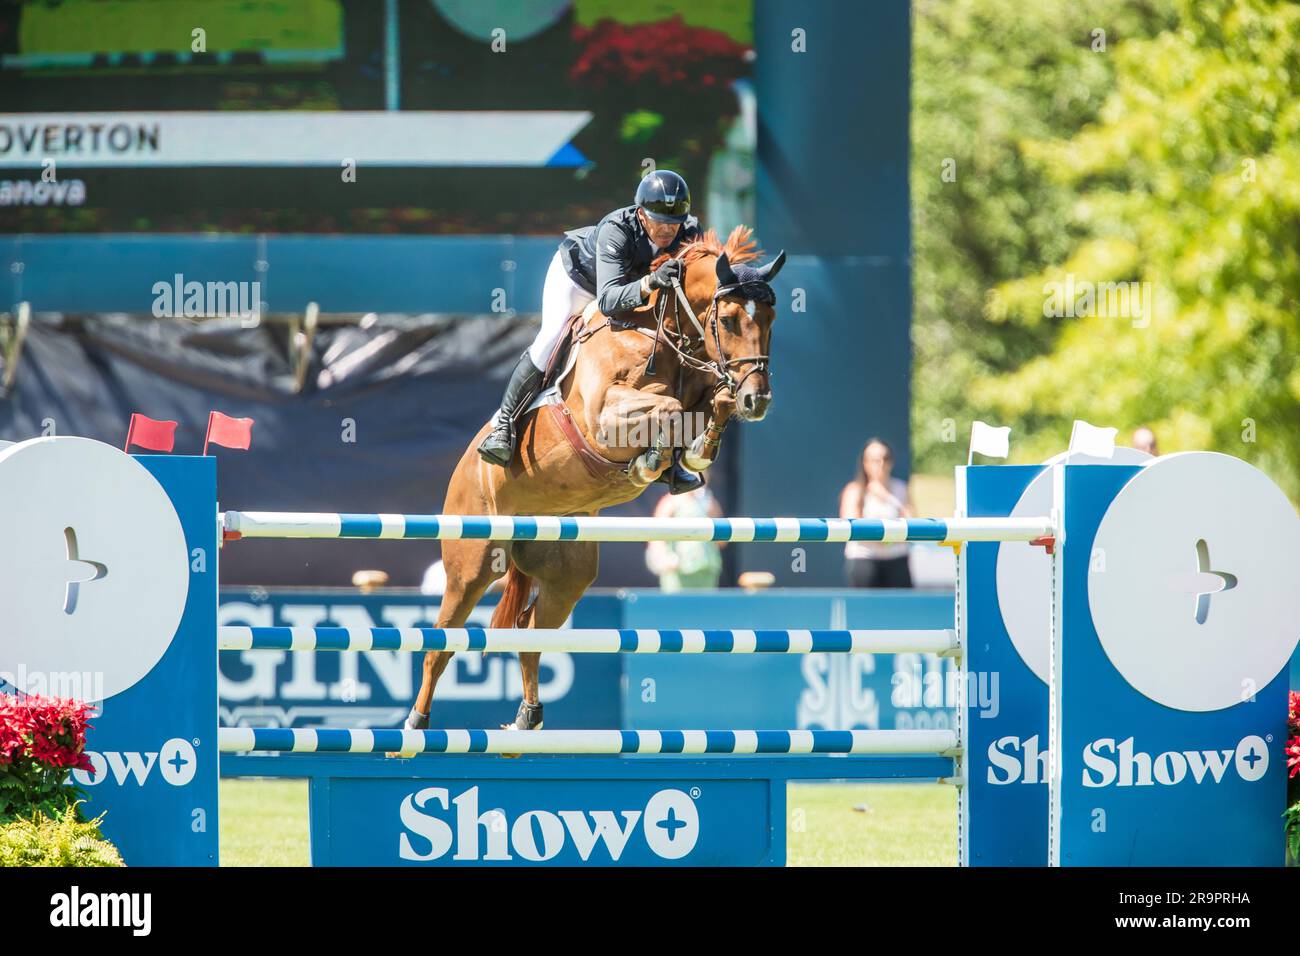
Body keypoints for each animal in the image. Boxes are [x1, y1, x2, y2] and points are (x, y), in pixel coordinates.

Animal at [405, 230, 785, 733]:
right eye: (727, 319)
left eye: (771, 319)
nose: (757, 400)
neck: (661, 333)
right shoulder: (605, 415)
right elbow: (666, 408)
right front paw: (651, 460)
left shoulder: (705, 391)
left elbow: (709, 408)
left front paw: (685, 458)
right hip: (473, 563)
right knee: (442, 642)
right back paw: (415, 724)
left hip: (569, 573)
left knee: (530, 632)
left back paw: (526, 720)